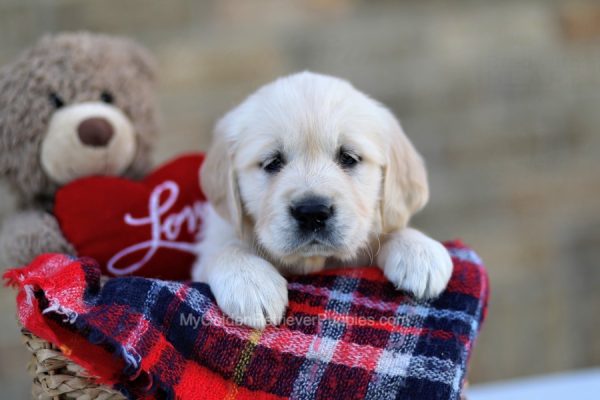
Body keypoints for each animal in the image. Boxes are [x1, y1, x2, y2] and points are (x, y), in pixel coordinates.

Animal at [195, 72, 452, 328]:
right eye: (272, 162)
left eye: (349, 158)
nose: (312, 212)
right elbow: (226, 249)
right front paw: (251, 281)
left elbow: (389, 231)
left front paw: (419, 251)